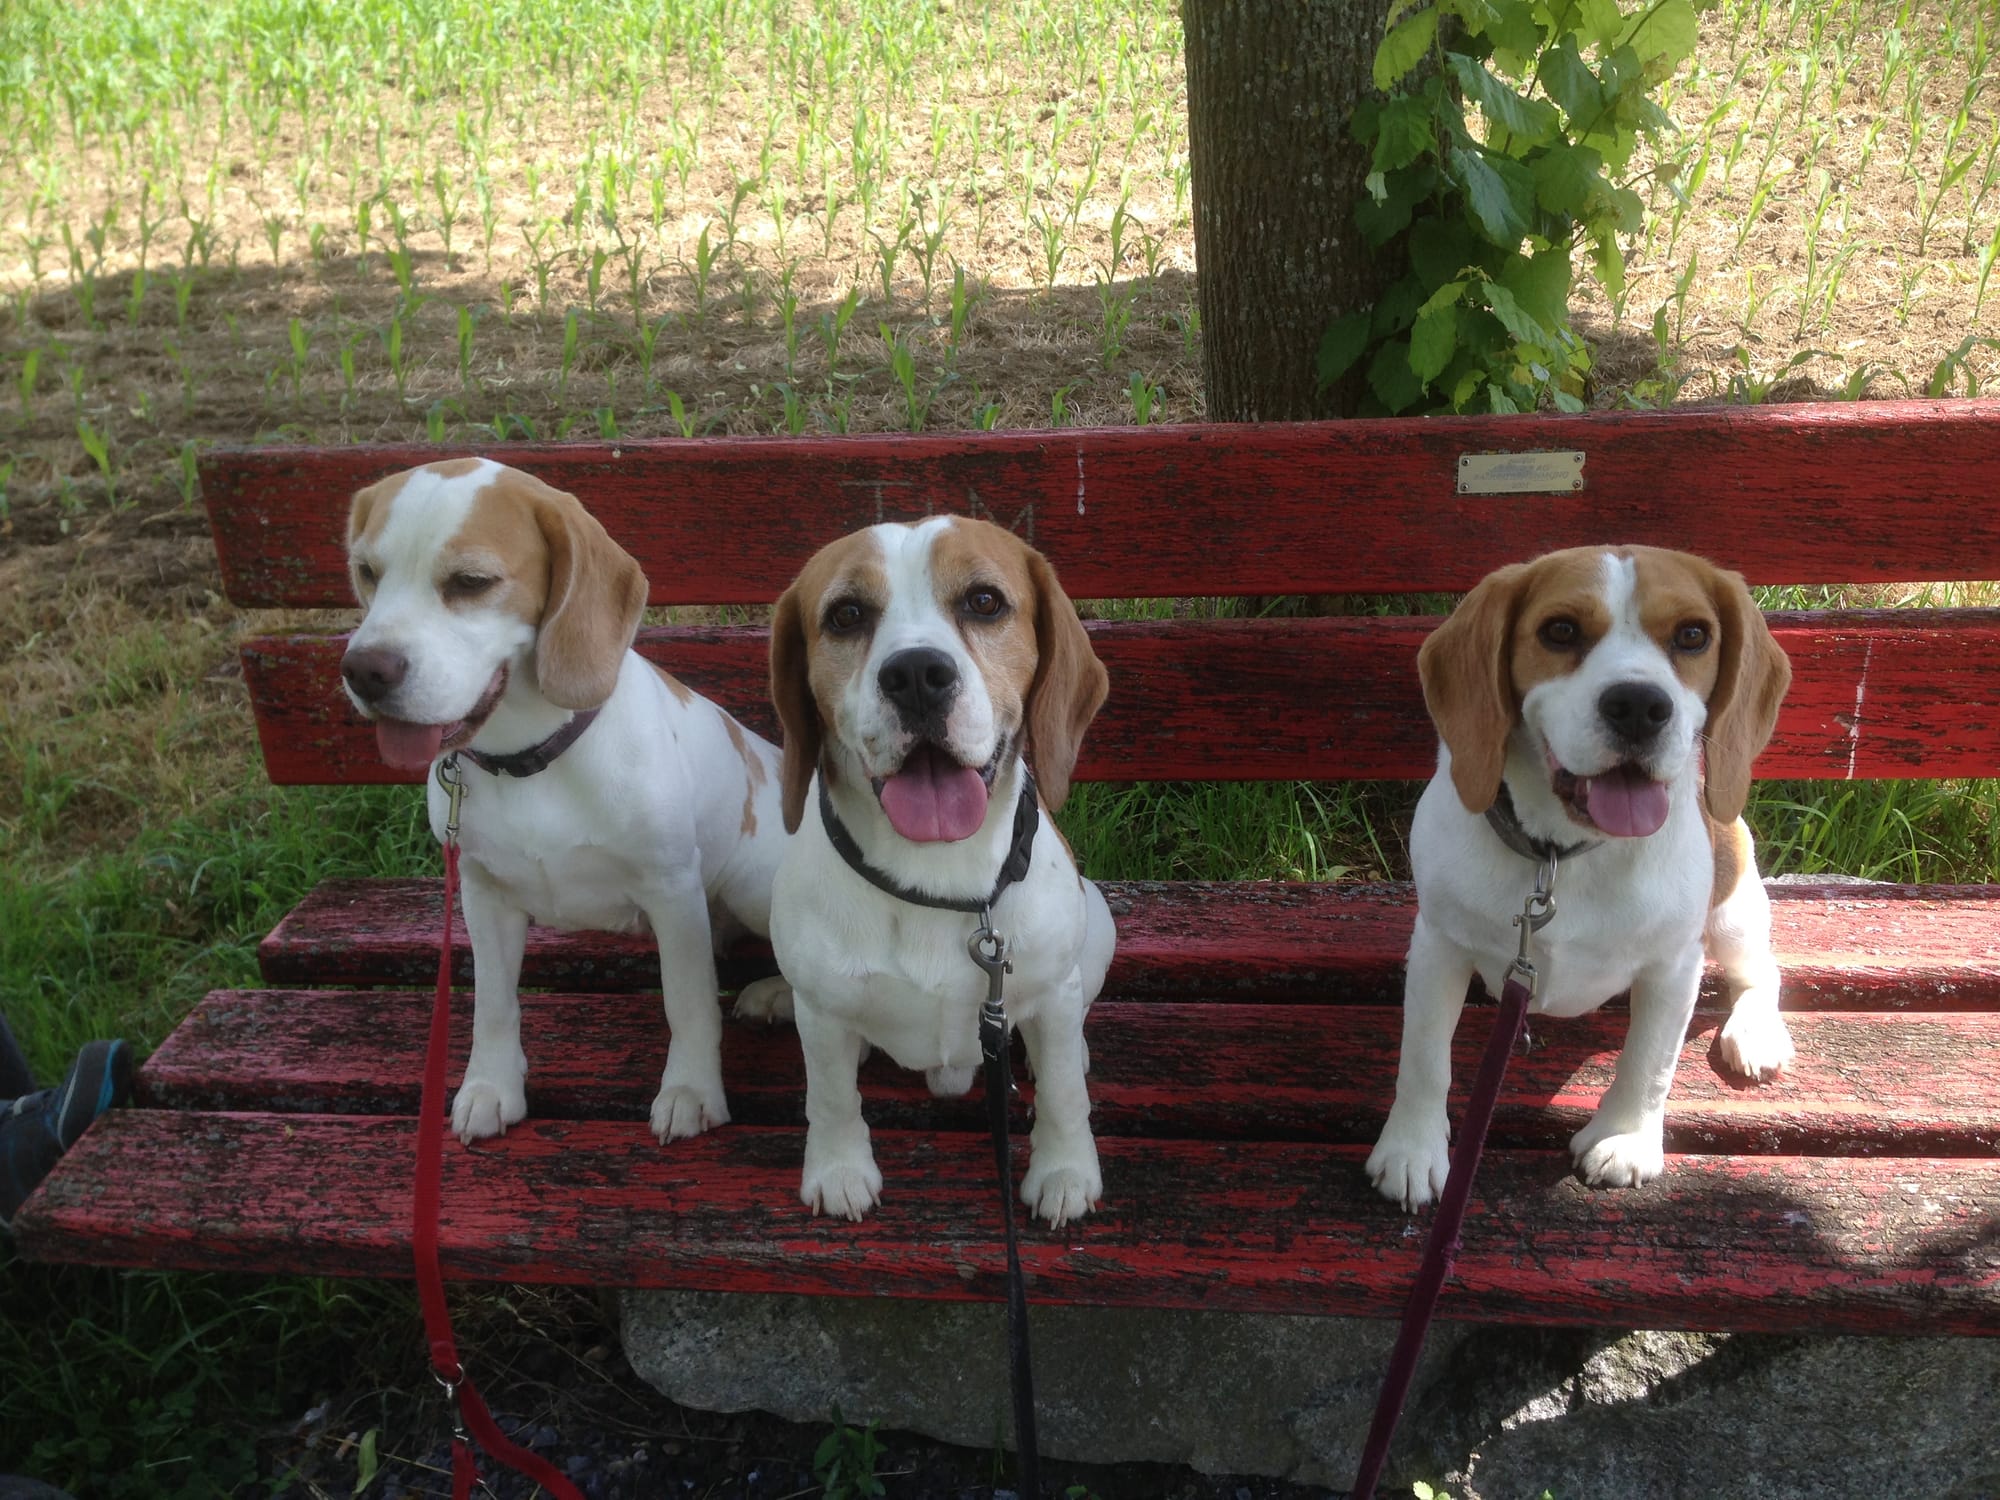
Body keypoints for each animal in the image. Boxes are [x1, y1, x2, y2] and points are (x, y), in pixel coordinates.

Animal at [764, 524, 1120, 1224]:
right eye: (846, 615)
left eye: (984, 602)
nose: (916, 675)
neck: (936, 873)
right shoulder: (820, 1010)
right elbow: (831, 1096)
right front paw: (839, 1169)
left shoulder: (1049, 992)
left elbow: (1064, 1092)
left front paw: (1065, 1169)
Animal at [1376, 548, 1800, 1216]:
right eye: (1560, 631)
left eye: (1692, 635)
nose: (1640, 705)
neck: (1560, 855)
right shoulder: (1439, 943)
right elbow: (1423, 1057)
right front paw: (1412, 1149)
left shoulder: (1674, 966)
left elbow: (1649, 1061)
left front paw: (1625, 1138)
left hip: (1732, 909)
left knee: (1762, 971)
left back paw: (1755, 1031)